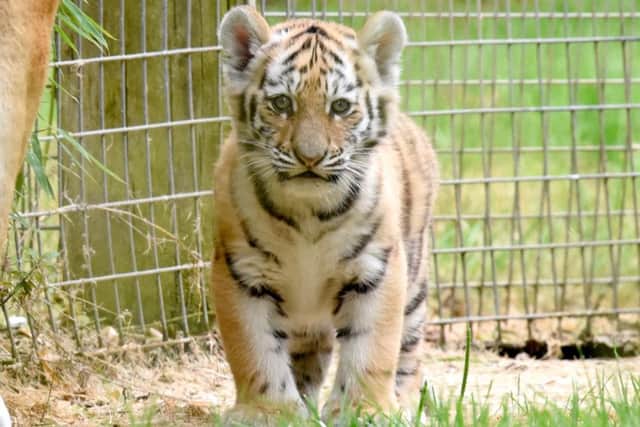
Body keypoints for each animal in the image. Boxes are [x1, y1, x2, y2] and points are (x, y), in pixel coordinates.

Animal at [211, 6, 439, 423]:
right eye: (282, 103)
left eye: (341, 107)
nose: (310, 157)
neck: (308, 214)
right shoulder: (241, 272)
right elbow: (254, 349)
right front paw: (270, 412)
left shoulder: (377, 268)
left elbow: (372, 348)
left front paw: (367, 410)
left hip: (415, 283)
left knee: (409, 351)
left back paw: (405, 403)